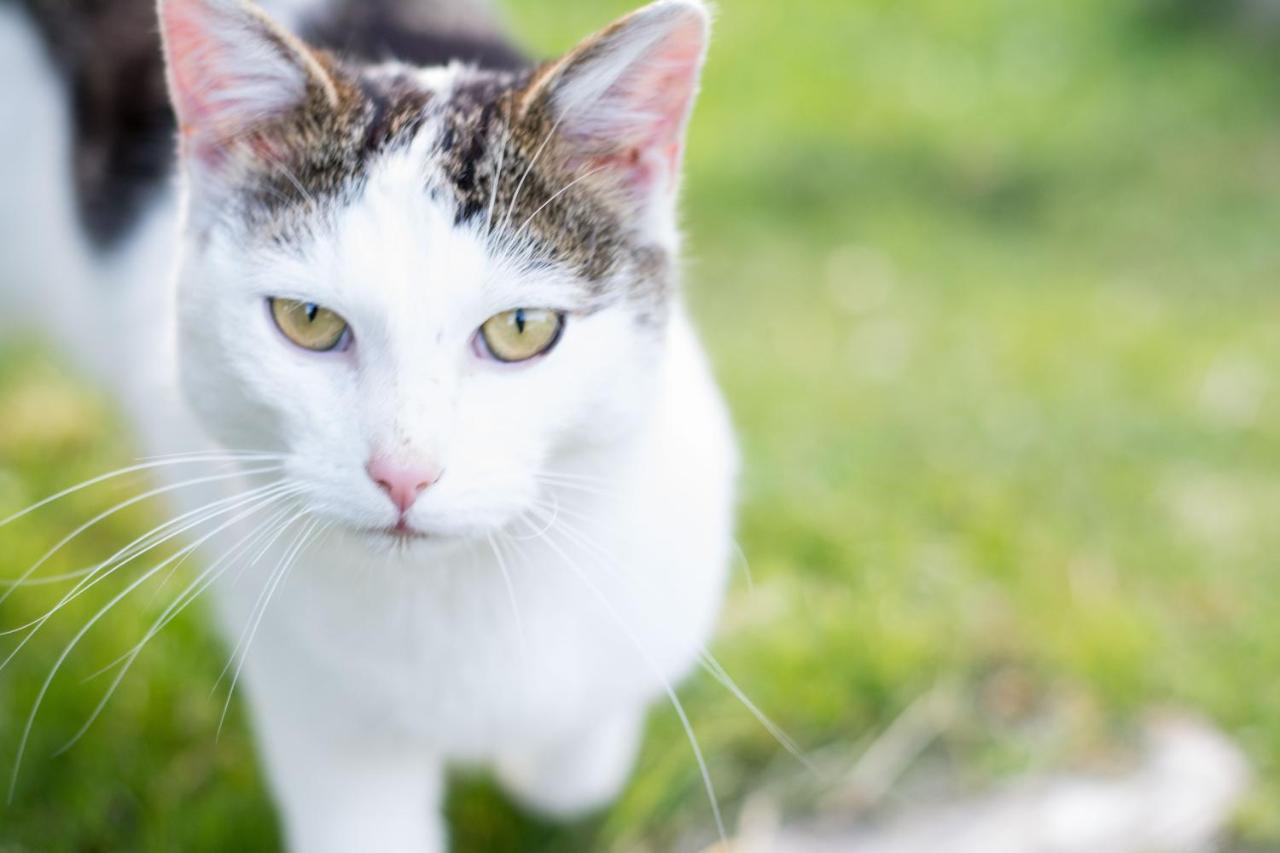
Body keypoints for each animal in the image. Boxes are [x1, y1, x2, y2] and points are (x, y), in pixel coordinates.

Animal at [0, 1, 737, 850]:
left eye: (522, 328)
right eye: (308, 319)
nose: (403, 473)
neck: (457, 596)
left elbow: (577, 775)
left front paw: (551, 765)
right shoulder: (318, 713)